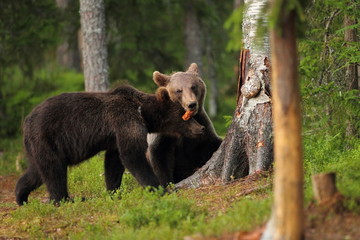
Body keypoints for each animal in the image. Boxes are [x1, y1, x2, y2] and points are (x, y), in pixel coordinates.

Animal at [14, 84, 205, 204]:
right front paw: (158, 188)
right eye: (185, 115)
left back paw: (21, 196)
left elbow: (114, 162)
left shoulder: (115, 137)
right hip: (46, 137)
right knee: (54, 171)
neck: (142, 112)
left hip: (39, 146)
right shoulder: (125, 120)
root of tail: (26, 121)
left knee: (38, 171)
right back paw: (66, 199)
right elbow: (132, 156)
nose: (201, 128)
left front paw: (113, 191)